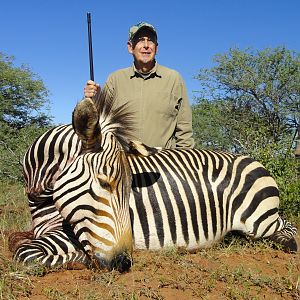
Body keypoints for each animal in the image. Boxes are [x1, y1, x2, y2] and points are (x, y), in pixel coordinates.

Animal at [9, 89, 298, 272]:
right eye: (104, 183)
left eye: (128, 191)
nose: (123, 262)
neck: (41, 198)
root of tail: (255, 161)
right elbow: (16, 239)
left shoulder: (69, 234)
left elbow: (24, 252)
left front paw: (79, 258)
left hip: (258, 220)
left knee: (288, 226)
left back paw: (288, 243)